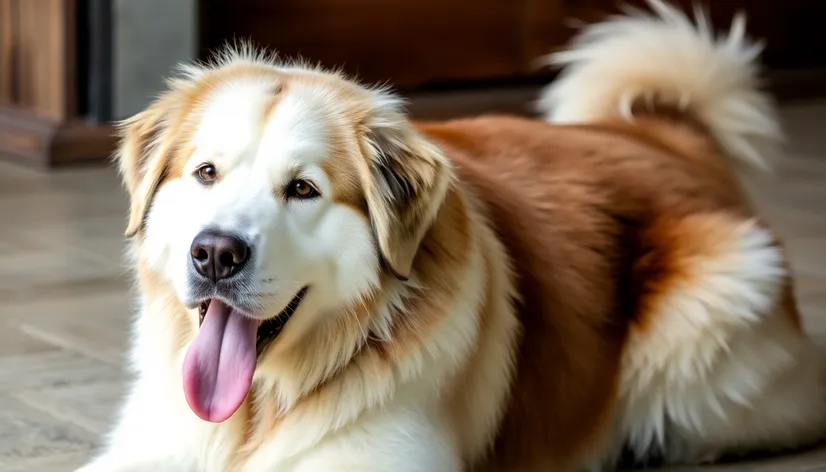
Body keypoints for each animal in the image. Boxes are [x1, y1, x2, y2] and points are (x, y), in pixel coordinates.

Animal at [79, 0, 824, 472]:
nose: (214, 254)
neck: (260, 407)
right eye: (206, 173)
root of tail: (663, 135)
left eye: (303, 189)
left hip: (714, 314)